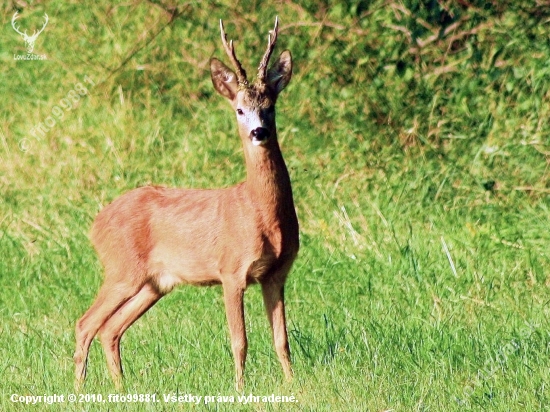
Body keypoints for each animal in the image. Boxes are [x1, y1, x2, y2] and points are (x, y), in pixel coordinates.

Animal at [75, 16, 300, 390]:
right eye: (239, 109)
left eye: (270, 107)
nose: (259, 133)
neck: (262, 213)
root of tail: (95, 224)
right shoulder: (231, 270)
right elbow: (239, 340)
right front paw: (239, 389)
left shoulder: (276, 274)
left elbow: (281, 339)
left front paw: (294, 385)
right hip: (121, 269)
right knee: (85, 323)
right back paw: (79, 390)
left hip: (155, 283)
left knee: (110, 328)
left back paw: (121, 387)